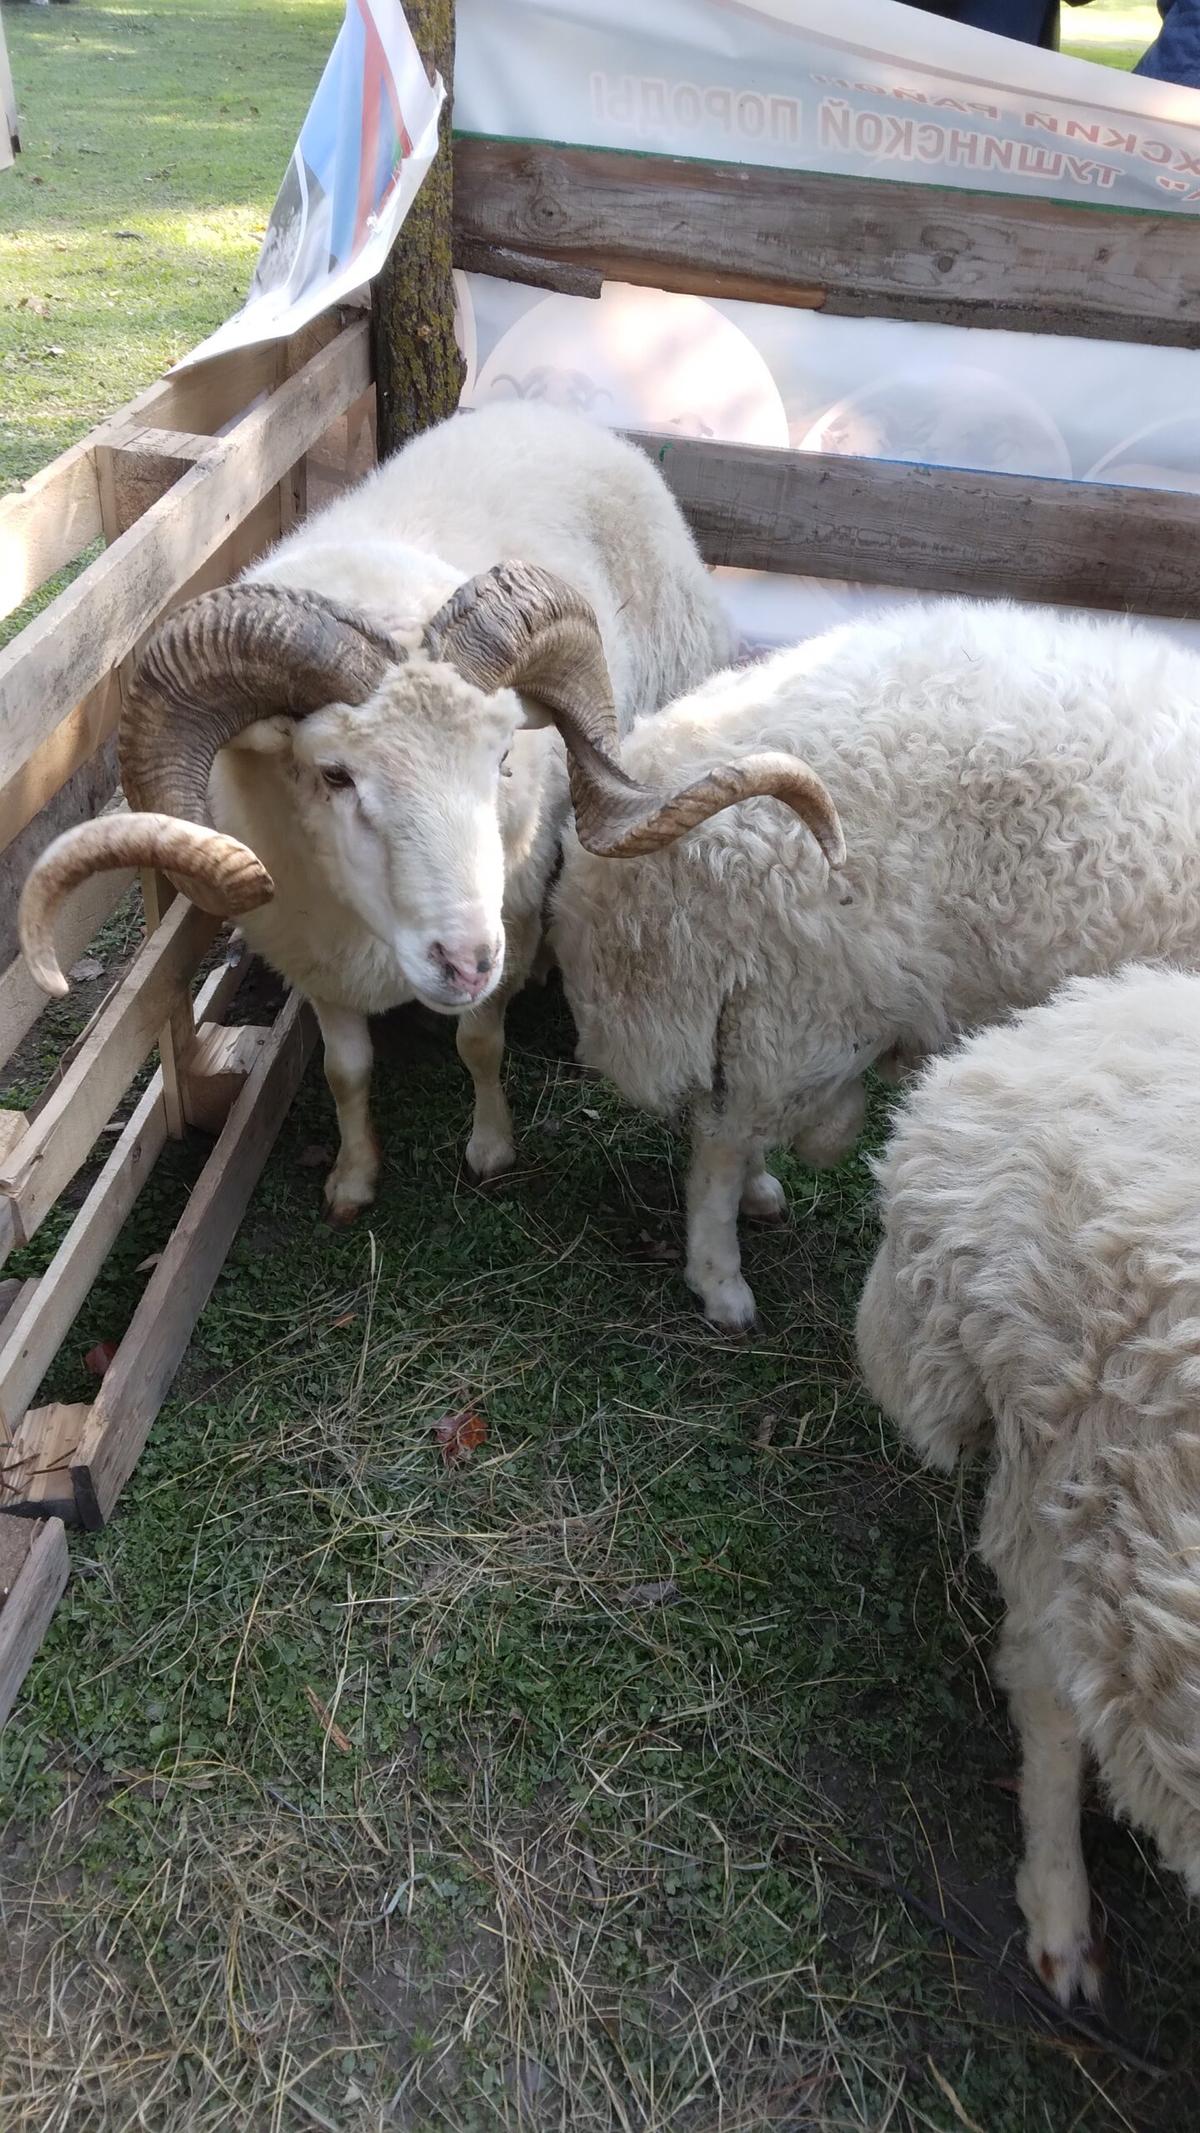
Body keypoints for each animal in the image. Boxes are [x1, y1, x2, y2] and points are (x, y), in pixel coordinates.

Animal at [18, 404, 841, 1221]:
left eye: (503, 756)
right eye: (334, 774)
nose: (466, 959)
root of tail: (556, 413)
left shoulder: (507, 912)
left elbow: (479, 1043)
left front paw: (491, 1146)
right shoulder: (314, 958)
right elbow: (346, 1069)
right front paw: (352, 1178)